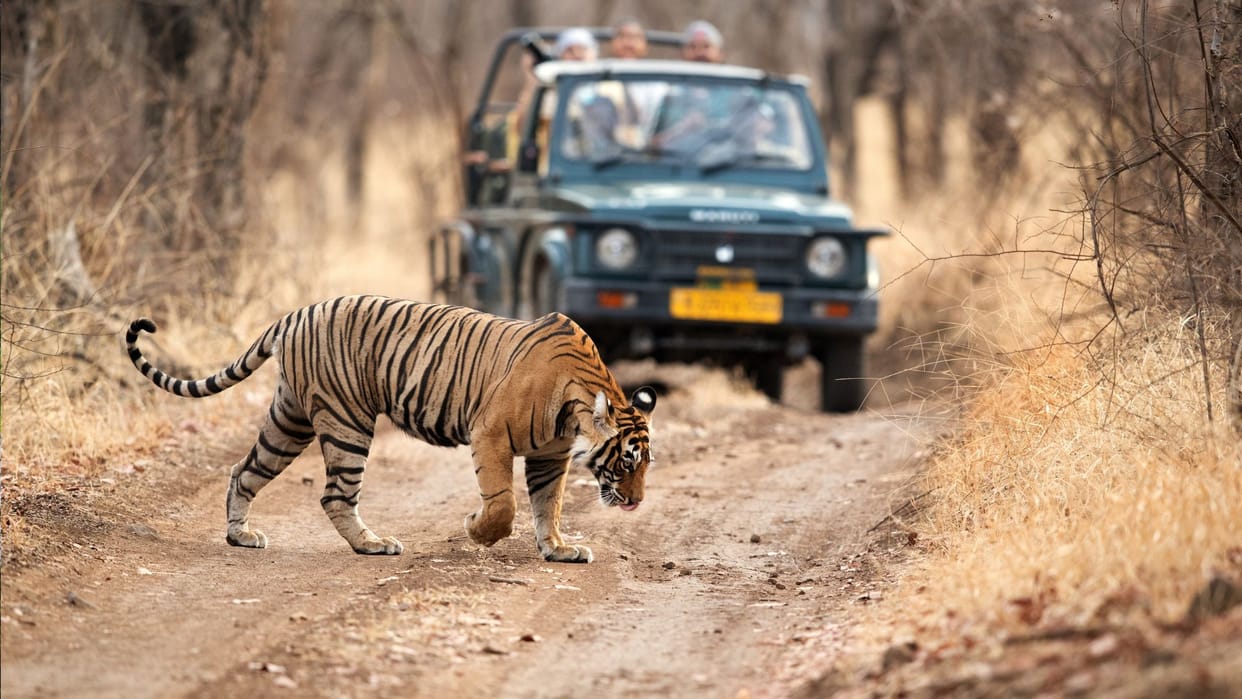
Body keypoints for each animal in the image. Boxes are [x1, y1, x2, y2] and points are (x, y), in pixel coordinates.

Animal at [124, 295, 656, 563]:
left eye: (646, 464)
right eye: (627, 460)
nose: (636, 502)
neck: (576, 405)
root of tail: (294, 314)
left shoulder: (550, 455)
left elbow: (550, 504)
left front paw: (559, 549)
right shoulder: (490, 434)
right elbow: (504, 504)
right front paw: (477, 529)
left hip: (290, 419)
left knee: (244, 470)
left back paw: (241, 535)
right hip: (347, 421)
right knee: (335, 495)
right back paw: (372, 544)